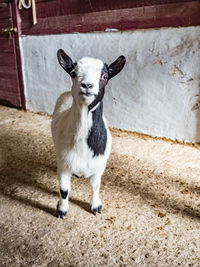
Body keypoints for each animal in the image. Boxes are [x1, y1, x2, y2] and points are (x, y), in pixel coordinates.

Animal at [51, 49, 126, 219]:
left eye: (104, 76)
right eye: (73, 73)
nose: (87, 85)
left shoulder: (99, 167)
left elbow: (95, 186)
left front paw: (96, 206)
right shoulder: (65, 166)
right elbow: (64, 190)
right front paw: (62, 210)